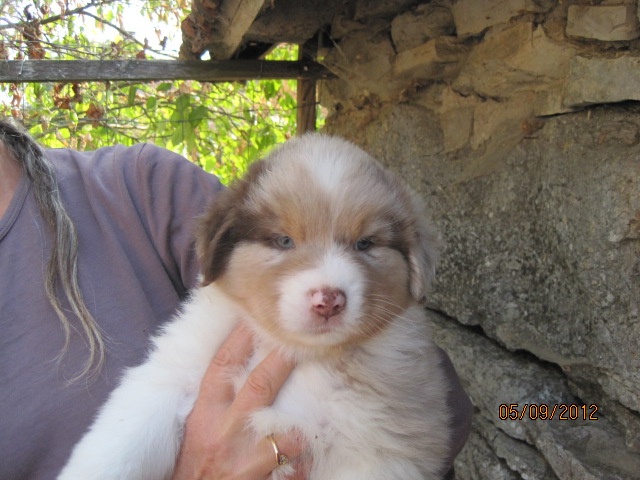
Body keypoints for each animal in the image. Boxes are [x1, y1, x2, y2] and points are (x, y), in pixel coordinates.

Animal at [58, 134, 450, 480]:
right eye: (284, 241)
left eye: (365, 244)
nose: (329, 300)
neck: (300, 354)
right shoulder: (170, 375)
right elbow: (120, 445)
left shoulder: (377, 446)